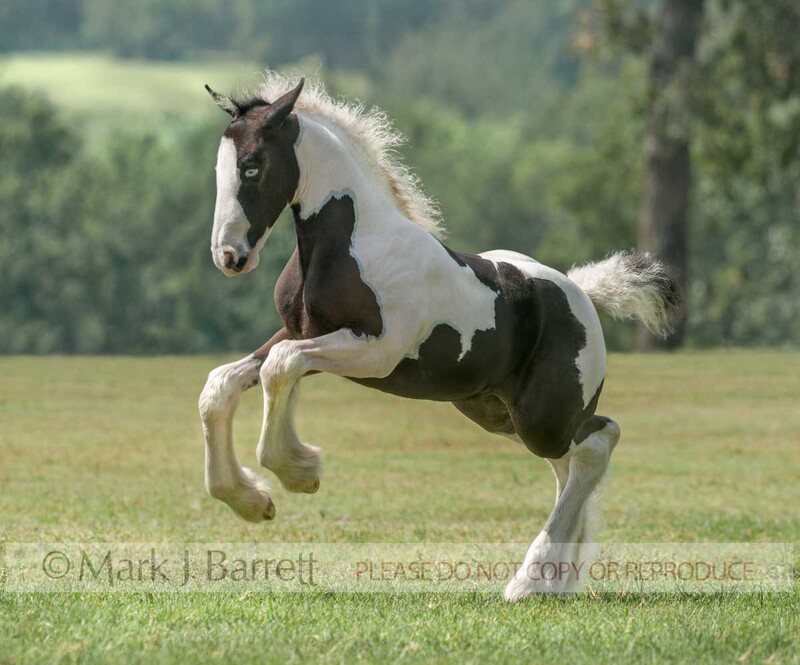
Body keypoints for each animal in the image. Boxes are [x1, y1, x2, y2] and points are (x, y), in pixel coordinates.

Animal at [198, 72, 680, 600]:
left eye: (252, 166)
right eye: (219, 167)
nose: (230, 256)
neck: (354, 243)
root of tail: (584, 293)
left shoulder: (375, 351)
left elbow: (281, 364)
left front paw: (300, 471)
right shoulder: (304, 331)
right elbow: (222, 383)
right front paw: (251, 500)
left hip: (543, 417)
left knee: (597, 444)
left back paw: (529, 580)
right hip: (498, 412)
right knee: (569, 464)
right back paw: (555, 579)